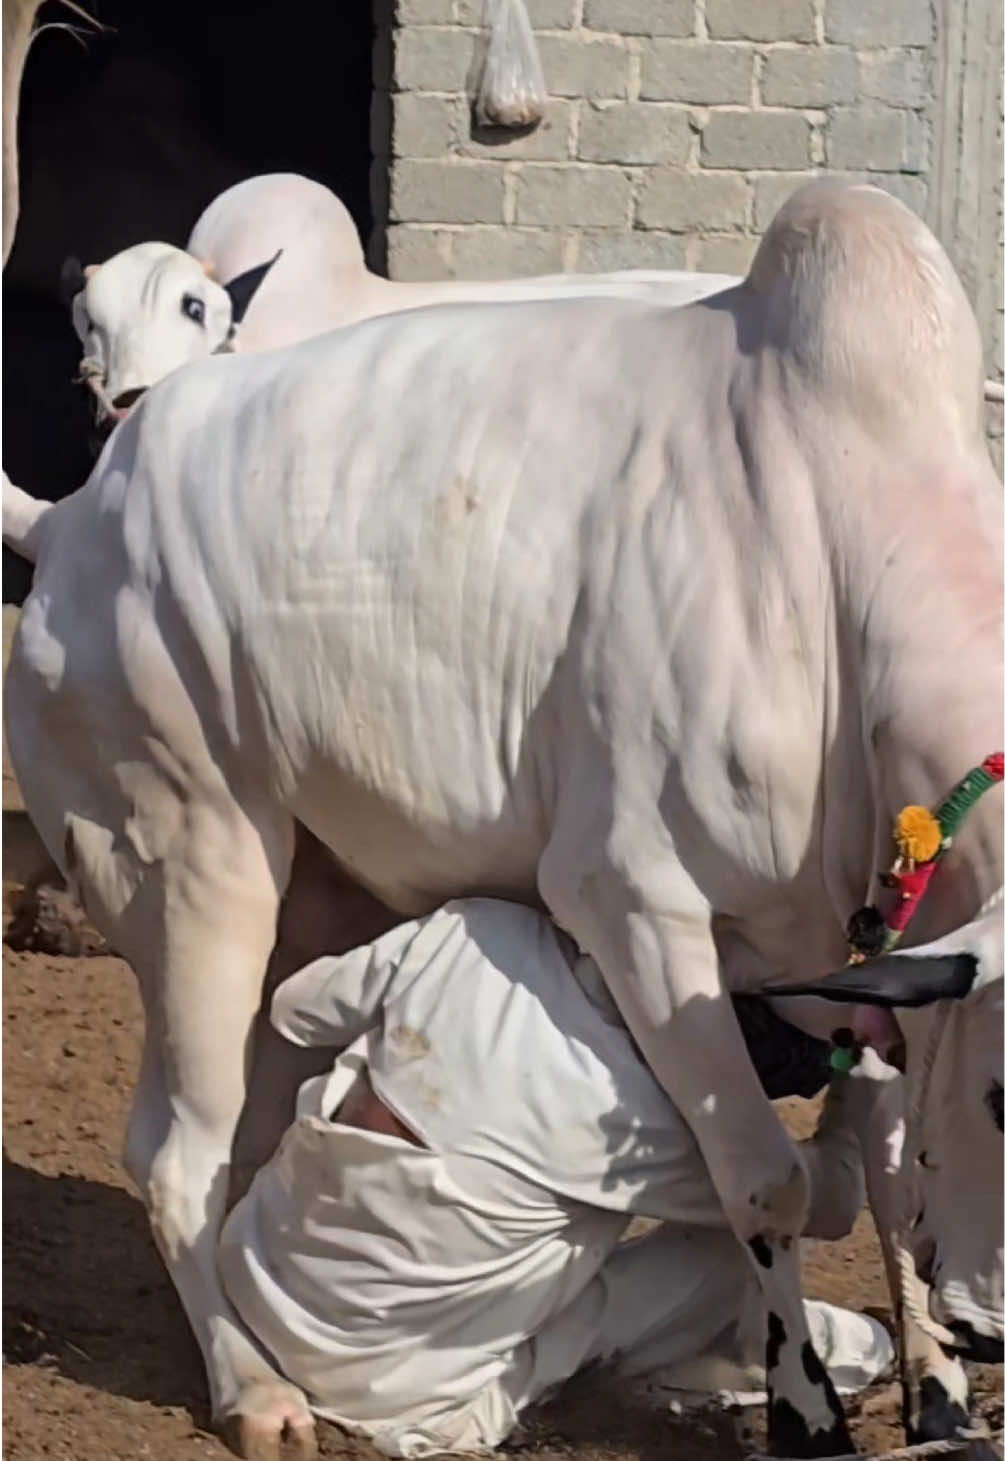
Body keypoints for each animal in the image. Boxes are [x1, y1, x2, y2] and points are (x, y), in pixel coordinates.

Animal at [4, 180, 1002, 1460]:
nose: (992, 1332)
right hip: (188, 866)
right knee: (179, 1150)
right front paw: (807, 1414)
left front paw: (940, 1396)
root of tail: (71, 521)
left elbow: (886, 1172)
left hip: (309, 904)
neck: (837, 557)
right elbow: (770, 1181)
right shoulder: (632, 901)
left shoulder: (865, 953)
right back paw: (255, 1389)